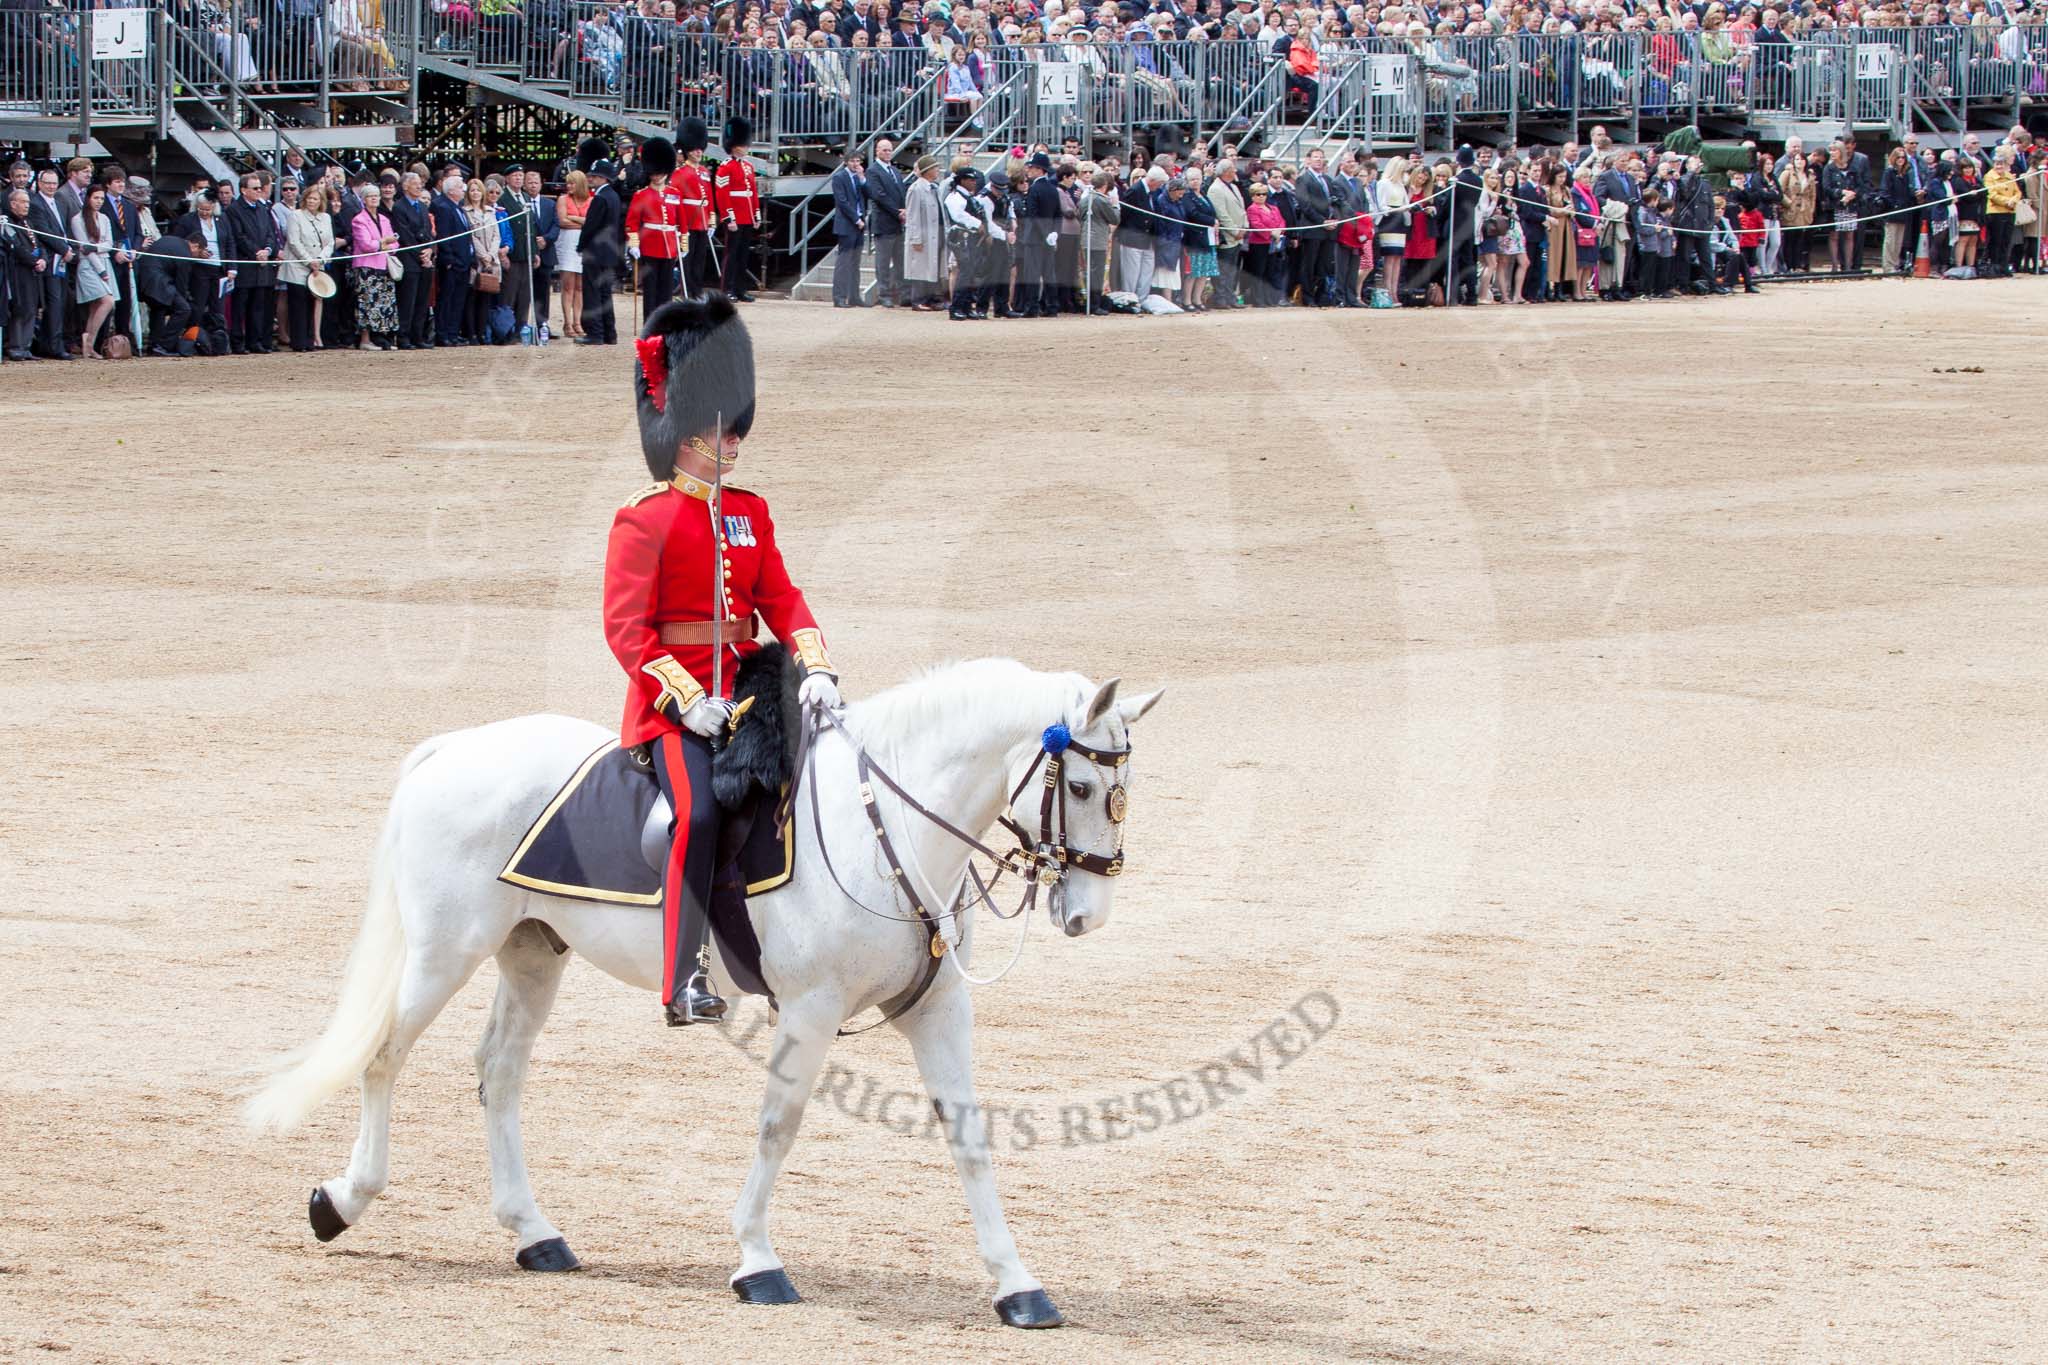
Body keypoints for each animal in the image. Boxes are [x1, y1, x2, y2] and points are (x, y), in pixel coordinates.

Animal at [247, 654, 1163, 1326]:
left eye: (1125, 793)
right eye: (1083, 787)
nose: (1088, 913)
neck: (885, 828)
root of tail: (452, 747)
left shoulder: (938, 1009)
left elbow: (969, 1135)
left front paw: (1018, 1283)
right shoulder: (811, 1010)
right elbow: (778, 1127)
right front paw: (757, 1259)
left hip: (533, 953)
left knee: (499, 1072)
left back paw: (535, 1233)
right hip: (445, 951)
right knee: (384, 1056)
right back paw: (343, 1200)